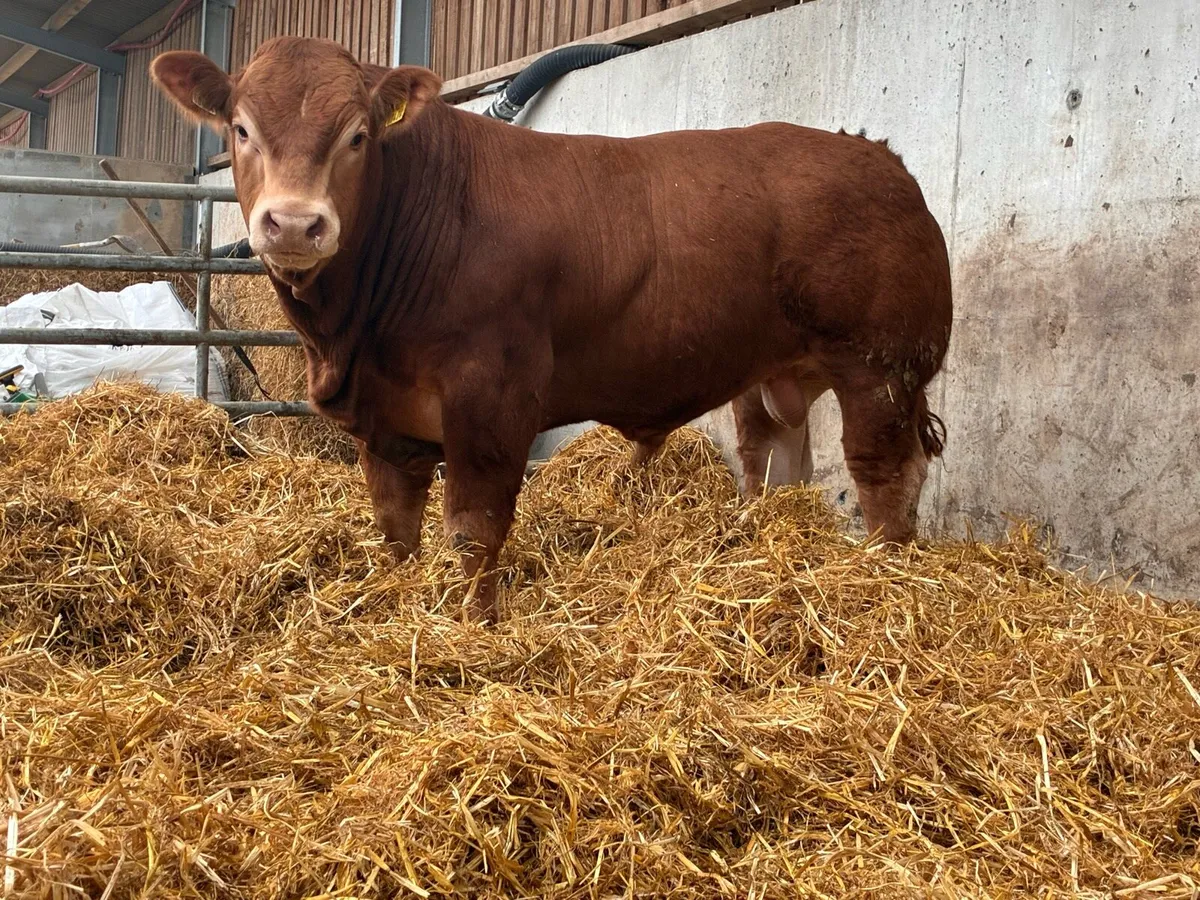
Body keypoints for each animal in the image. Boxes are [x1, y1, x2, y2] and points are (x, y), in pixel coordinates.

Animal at [151, 37, 952, 623]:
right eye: (242, 129)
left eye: (356, 136)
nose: (292, 223)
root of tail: (881, 157)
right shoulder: (386, 414)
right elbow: (395, 527)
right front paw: (394, 602)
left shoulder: (491, 396)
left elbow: (474, 527)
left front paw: (473, 626)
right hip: (775, 371)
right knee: (776, 460)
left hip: (880, 367)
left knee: (886, 473)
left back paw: (884, 577)